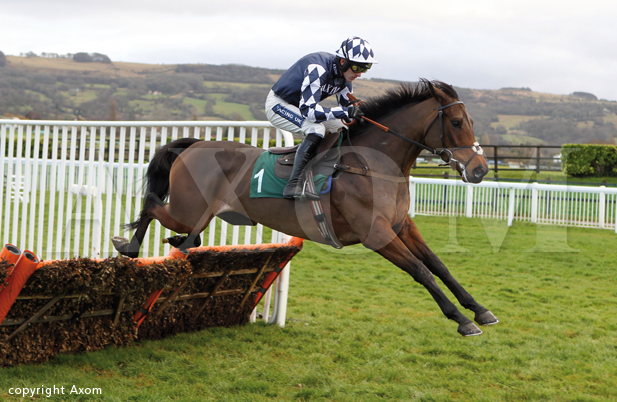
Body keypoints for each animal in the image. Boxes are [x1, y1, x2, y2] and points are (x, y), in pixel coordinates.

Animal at [113, 78, 498, 336]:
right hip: (185, 210)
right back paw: (128, 246)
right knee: (151, 204)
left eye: (471, 122)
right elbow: (421, 271)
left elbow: (439, 266)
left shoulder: (402, 225)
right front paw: (462, 321)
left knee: (187, 235)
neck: (376, 165)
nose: (480, 170)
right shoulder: (375, 234)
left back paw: (173, 245)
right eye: (457, 123)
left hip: (198, 214)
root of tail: (194, 145)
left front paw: (480, 310)